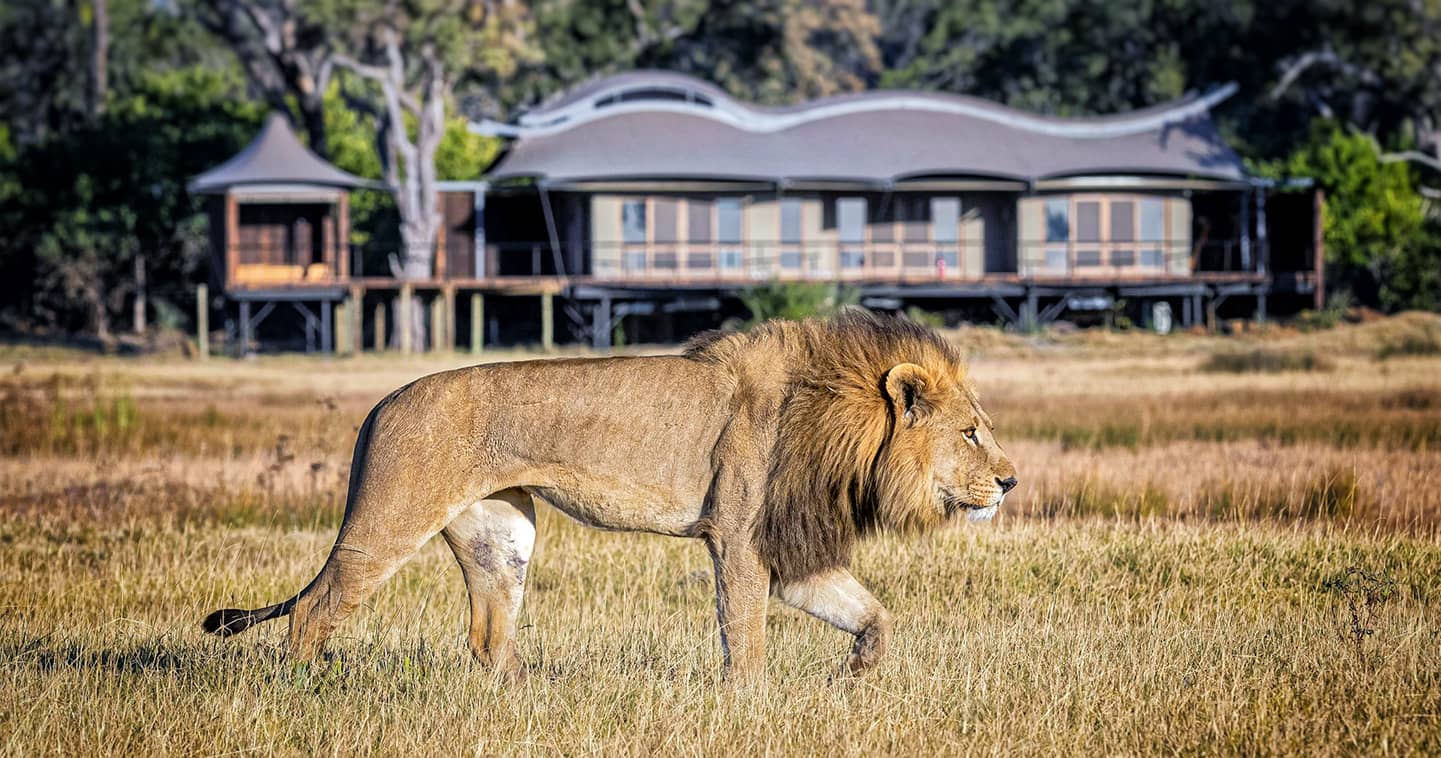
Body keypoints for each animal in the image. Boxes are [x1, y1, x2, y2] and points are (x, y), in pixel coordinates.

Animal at [203, 312, 1020, 680]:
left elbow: (873, 614)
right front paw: (751, 703)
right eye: (971, 433)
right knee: (313, 609)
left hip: (504, 533)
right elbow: (744, 634)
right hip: (390, 520)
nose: (1011, 481)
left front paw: (854, 676)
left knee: (488, 635)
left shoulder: (792, 553)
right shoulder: (740, 538)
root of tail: (381, 403)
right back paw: (308, 687)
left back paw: (521, 698)